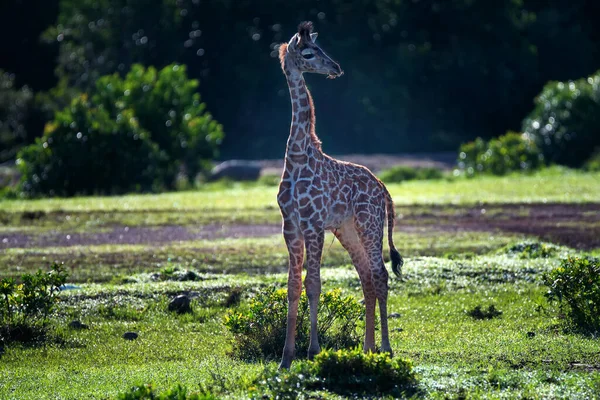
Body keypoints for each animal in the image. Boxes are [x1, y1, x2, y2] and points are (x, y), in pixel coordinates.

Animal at [276, 20, 404, 368]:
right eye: (309, 53)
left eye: (321, 48)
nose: (336, 67)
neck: (297, 156)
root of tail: (382, 187)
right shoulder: (290, 226)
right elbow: (293, 286)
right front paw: (286, 357)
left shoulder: (314, 225)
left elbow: (314, 284)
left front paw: (313, 351)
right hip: (348, 229)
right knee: (366, 278)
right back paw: (367, 348)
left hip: (370, 224)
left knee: (381, 275)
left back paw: (386, 348)